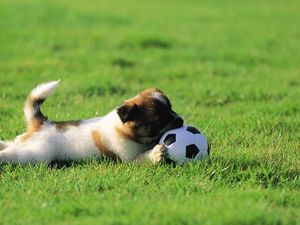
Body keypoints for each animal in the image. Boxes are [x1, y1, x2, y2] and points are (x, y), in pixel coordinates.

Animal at [0, 80, 183, 163]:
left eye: (171, 109)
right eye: (159, 120)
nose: (181, 120)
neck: (125, 131)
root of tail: (43, 124)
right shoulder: (129, 159)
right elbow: (144, 156)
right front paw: (157, 153)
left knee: (9, 144)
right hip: (37, 153)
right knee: (13, 153)